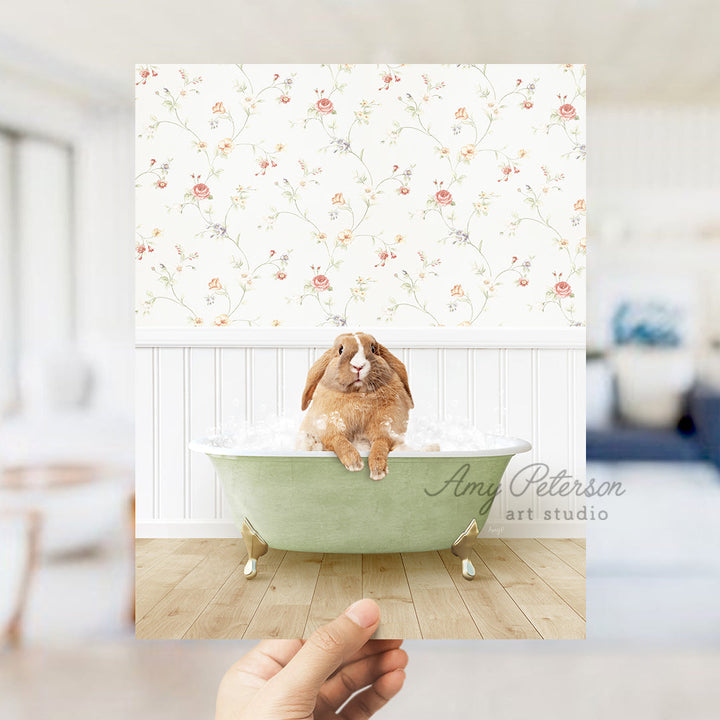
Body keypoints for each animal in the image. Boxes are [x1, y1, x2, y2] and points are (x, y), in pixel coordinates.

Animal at [296, 334, 410, 480]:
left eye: (373, 349)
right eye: (340, 350)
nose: (358, 366)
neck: (358, 394)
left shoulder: (386, 430)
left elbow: (380, 444)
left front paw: (378, 471)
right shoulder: (330, 430)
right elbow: (339, 441)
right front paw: (354, 463)